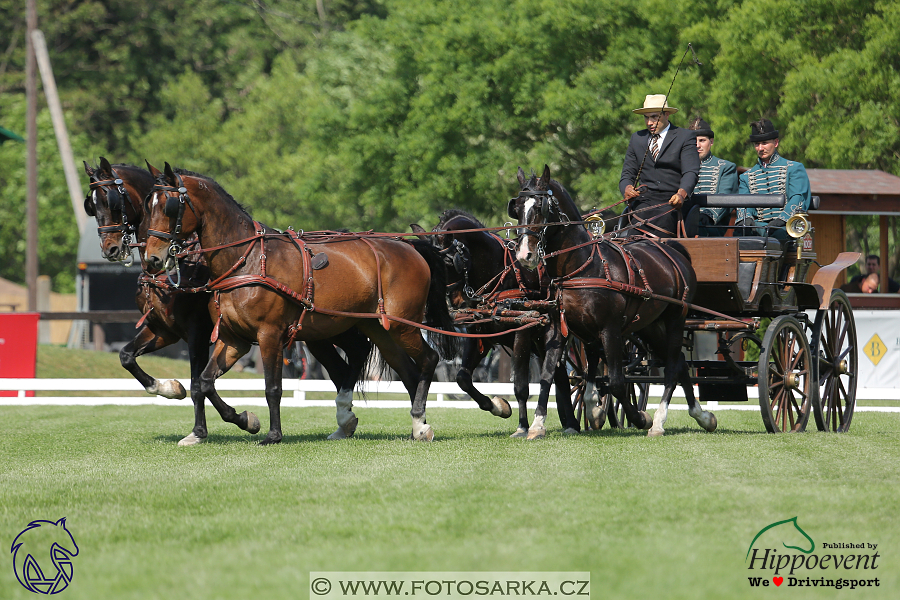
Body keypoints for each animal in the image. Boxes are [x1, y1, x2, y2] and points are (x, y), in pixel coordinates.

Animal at [144, 162, 458, 442]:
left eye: (169, 206)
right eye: (149, 205)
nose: (152, 259)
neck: (248, 261)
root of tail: (409, 245)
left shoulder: (269, 334)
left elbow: (272, 387)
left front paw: (273, 435)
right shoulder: (235, 339)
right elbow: (205, 382)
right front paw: (245, 420)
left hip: (402, 326)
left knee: (429, 360)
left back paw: (418, 422)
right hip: (379, 329)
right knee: (408, 372)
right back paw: (417, 426)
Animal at [410, 211, 576, 436]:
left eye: (448, 262)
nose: (453, 303)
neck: (498, 273)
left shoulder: (522, 332)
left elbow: (521, 386)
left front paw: (522, 426)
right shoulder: (478, 334)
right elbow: (462, 378)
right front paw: (498, 406)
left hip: (553, 335)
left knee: (550, 374)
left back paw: (548, 424)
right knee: (560, 377)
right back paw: (570, 423)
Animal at [506, 164, 716, 436]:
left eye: (541, 208)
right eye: (518, 207)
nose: (525, 254)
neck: (582, 267)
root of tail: (673, 250)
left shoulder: (610, 330)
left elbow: (617, 382)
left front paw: (639, 418)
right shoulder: (559, 329)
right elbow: (547, 375)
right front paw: (537, 424)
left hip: (675, 320)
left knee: (671, 367)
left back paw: (659, 421)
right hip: (650, 325)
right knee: (679, 362)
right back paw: (701, 415)